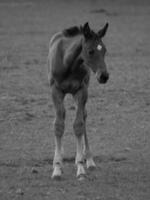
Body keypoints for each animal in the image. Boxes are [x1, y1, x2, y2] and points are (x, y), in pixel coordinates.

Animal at [47, 22, 109, 180]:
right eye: (90, 51)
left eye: (104, 50)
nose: (104, 76)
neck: (68, 63)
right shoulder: (55, 91)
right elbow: (58, 125)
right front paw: (57, 168)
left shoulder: (81, 91)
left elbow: (79, 125)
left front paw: (81, 166)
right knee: (61, 116)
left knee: (83, 116)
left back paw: (88, 159)